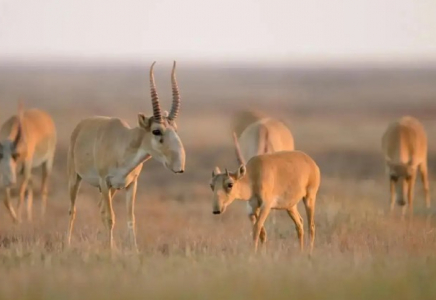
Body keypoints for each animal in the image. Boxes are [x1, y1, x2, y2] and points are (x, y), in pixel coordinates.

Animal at [67, 61, 186, 251]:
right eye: (156, 130)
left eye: (175, 128)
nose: (179, 166)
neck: (123, 144)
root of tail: (81, 126)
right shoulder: (104, 182)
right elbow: (110, 218)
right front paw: (110, 251)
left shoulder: (131, 185)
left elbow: (131, 219)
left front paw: (133, 251)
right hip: (75, 178)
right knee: (73, 210)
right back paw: (67, 244)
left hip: (113, 189)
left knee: (100, 208)